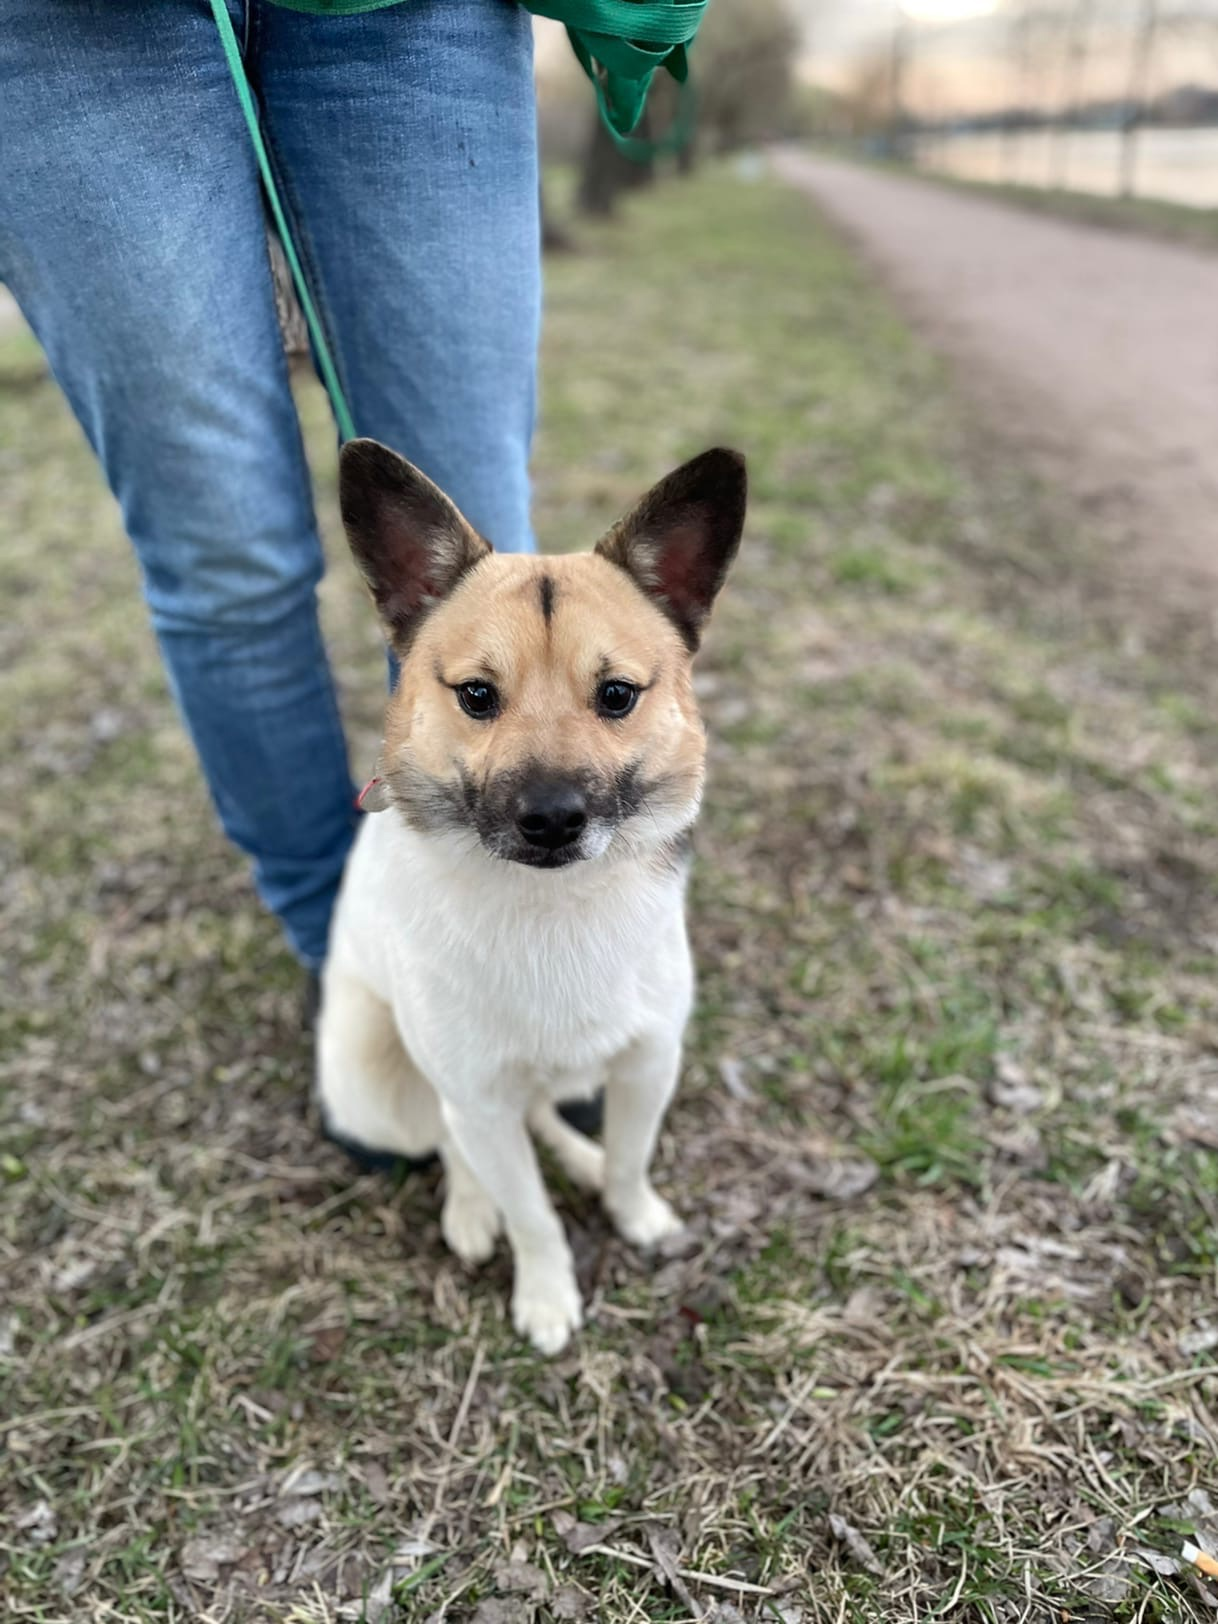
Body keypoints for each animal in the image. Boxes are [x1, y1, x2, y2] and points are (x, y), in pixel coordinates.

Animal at [315, 438, 750, 1351]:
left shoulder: (650, 1061)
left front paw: (630, 1209)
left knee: (542, 1115)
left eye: (617, 694)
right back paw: (470, 1209)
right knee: (446, 1136)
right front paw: (547, 1294)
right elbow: (532, 1215)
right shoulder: (479, 1096)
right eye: (477, 695)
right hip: (377, 1082)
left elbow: (629, 1159)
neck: (554, 908)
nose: (551, 819)